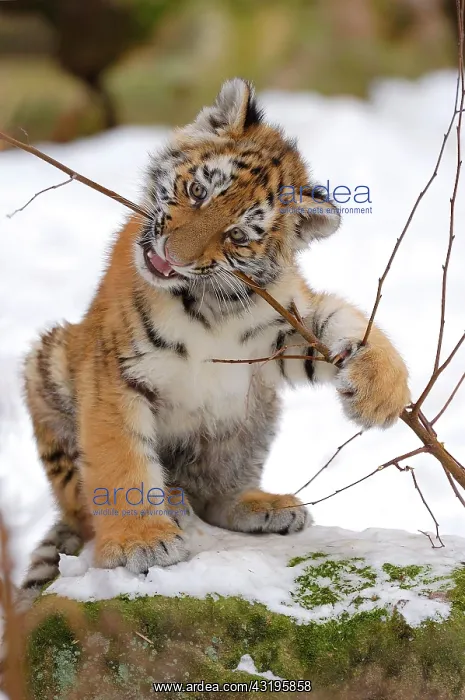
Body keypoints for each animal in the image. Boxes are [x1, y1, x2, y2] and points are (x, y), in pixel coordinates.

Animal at [22, 78, 410, 589]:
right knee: (83, 505)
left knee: (215, 492)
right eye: (197, 189)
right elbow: (121, 460)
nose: (171, 255)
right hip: (48, 362)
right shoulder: (114, 374)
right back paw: (167, 505)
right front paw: (138, 543)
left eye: (238, 236)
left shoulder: (280, 333)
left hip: (251, 414)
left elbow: (345, 322)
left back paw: (258, 505)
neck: (206, 304)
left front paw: (381, 392)